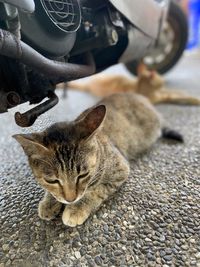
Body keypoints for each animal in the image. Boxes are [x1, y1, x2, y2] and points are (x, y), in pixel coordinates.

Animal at [13, 92, 183, 228]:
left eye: (82, 175)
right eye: (52, 180)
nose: (70, 199)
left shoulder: (120, 170)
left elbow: (94, 191)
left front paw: (75, 209)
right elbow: (53, 192)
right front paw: (49, 203)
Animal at [66, 64, 200, 105]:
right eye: (160, 78)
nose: (164, 81)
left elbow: (176, 93)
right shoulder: (161, 97)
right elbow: (177, 96)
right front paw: (195, 100)